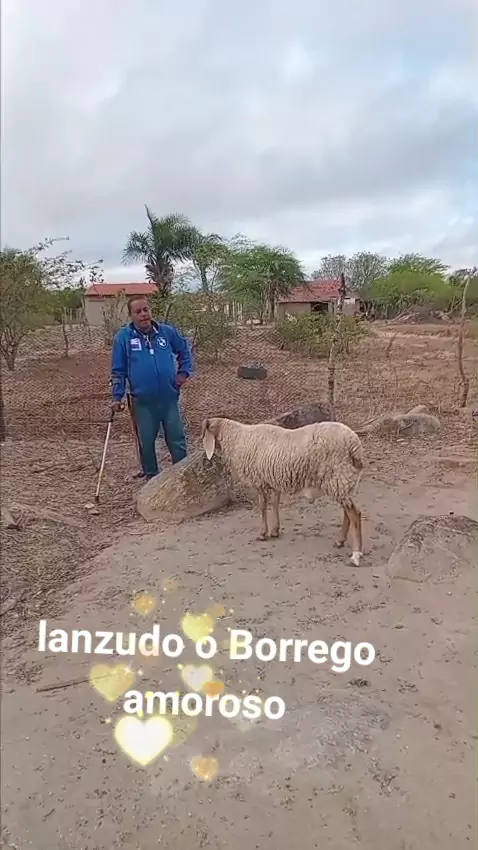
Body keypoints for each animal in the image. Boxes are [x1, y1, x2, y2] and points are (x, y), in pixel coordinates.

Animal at [201, 416, 365, 566]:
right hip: (341, 481)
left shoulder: (259, 481)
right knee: (348, 512)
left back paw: (356, 555)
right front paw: (275, 531)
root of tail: (354, 444)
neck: (237, 437)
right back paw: (340, 541)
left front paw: (263, 533)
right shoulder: (274, 480)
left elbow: (262, 506)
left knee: (355, 514)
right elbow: (275, 504)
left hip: (338, 477)